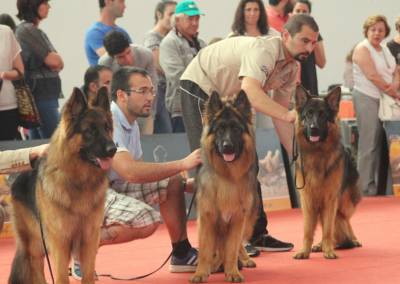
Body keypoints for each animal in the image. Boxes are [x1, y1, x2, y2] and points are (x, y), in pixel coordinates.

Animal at [8, 87, 117, 282]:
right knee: (36, 270)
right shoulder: (60, 244)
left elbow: (88, 275)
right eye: (90, 131)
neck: (79, 181)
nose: (113, 150)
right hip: (35, 247)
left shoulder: (89, 241)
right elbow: (60, 277)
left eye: (107, 128)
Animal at [191, 92, 260, 282]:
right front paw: (201, 272)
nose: (227, 146)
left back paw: (243, 260)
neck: (227, 177)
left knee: (237, 245)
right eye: (220, 130)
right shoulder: (207, 219)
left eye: (236, 129)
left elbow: (231, 250)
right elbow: (205, 251)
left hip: (247, 223)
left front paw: (232, 272)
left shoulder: (237, 219)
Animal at [290, 85, 362, 260]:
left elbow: (328, 229)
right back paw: (319, 245)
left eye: (323, 115)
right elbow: (308, 231)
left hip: (344, 203)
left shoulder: (330, 200)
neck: (317, 153)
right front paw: (305, 251)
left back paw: (351, 240)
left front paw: (328, 250)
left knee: (344, 220)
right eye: (309, 114)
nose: (314, 129)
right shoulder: (308, 201)